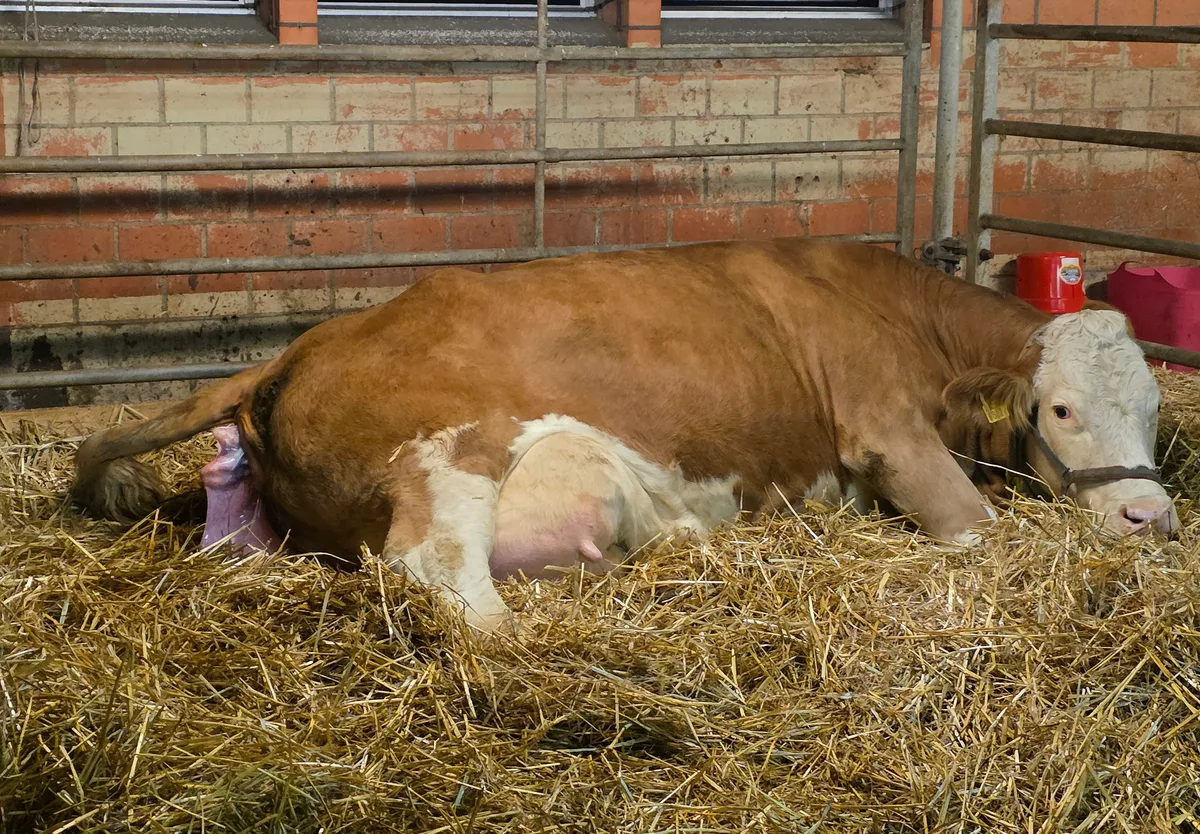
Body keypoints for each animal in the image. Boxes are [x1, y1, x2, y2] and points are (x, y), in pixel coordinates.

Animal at [70, 238, 1179, 633]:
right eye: (1059, 409)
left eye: (1155, 410)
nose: (1150, 517)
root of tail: (304, 345)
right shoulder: (886, 432)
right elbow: (976, 535)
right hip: (450, 451)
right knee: (435, 569)